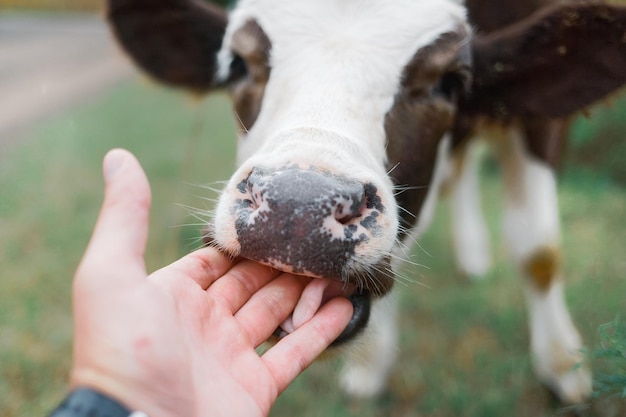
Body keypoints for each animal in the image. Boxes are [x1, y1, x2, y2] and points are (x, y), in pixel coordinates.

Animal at [106, 0, 624, 404]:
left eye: (450, 81)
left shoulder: (542, 123)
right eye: (237, 64)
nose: (296, 210)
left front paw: (563, 366)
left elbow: (538, 251)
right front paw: (372, 364)